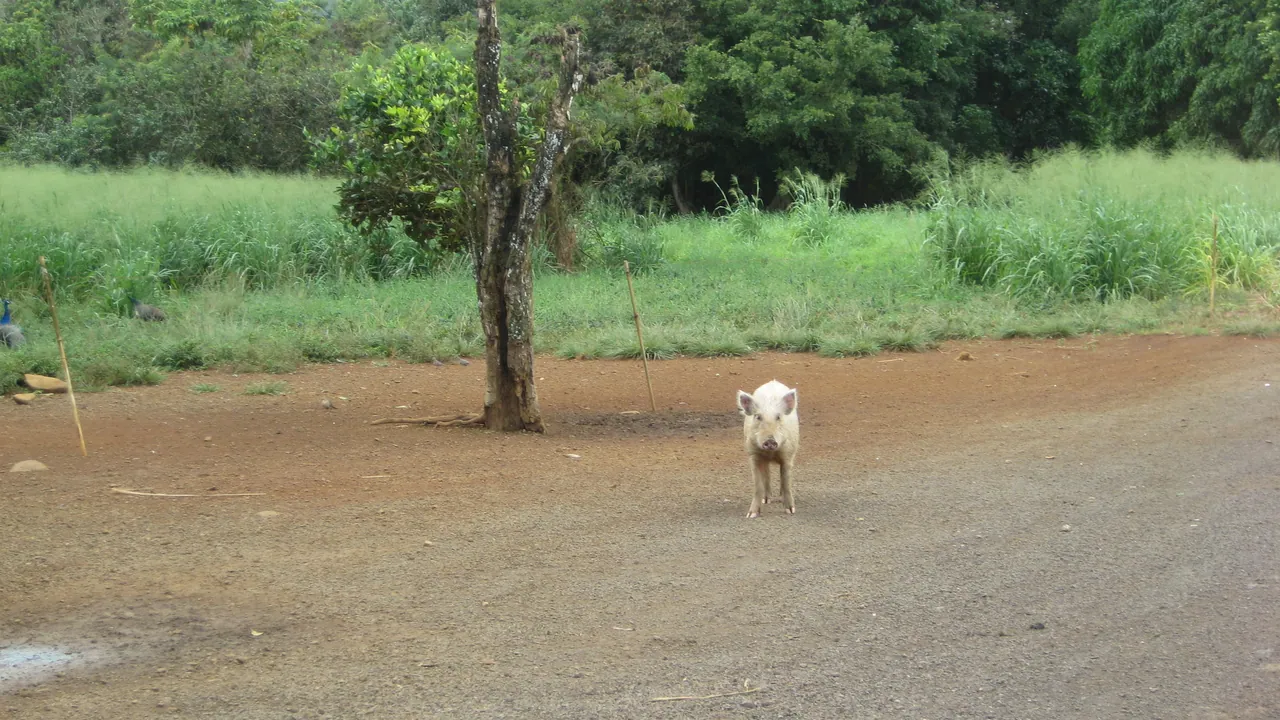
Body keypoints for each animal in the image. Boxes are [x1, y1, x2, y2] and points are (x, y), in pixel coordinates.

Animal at [736, 380, 799, 518]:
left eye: (778, 417)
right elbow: (758, 485)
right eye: (758, 417)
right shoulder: (754, 456)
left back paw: (779, 497)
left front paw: (791, 511)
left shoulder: (787, 454)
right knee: (767, 474)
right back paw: (766, 500)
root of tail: (773, 382)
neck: (771, 454)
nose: (770, 441)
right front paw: (751, 515)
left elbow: (786, 481)